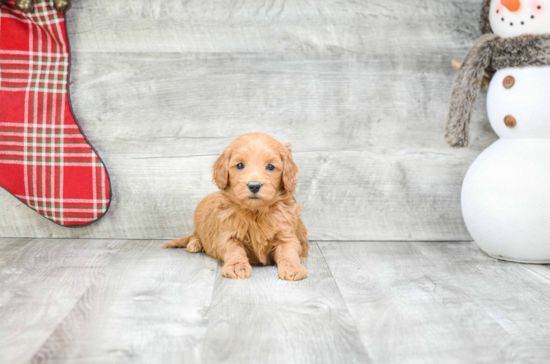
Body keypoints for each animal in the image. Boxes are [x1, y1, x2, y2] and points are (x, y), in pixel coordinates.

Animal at [163, 132, 310, 280]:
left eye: (270, 167)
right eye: (240, 165)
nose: (254, 185)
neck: (255, 212)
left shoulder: (286, 233)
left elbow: (289, 251)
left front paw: (292, 268)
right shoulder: (228, 233)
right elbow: (234, 250)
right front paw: (237, 266)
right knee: (195, 234)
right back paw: (195, 244)